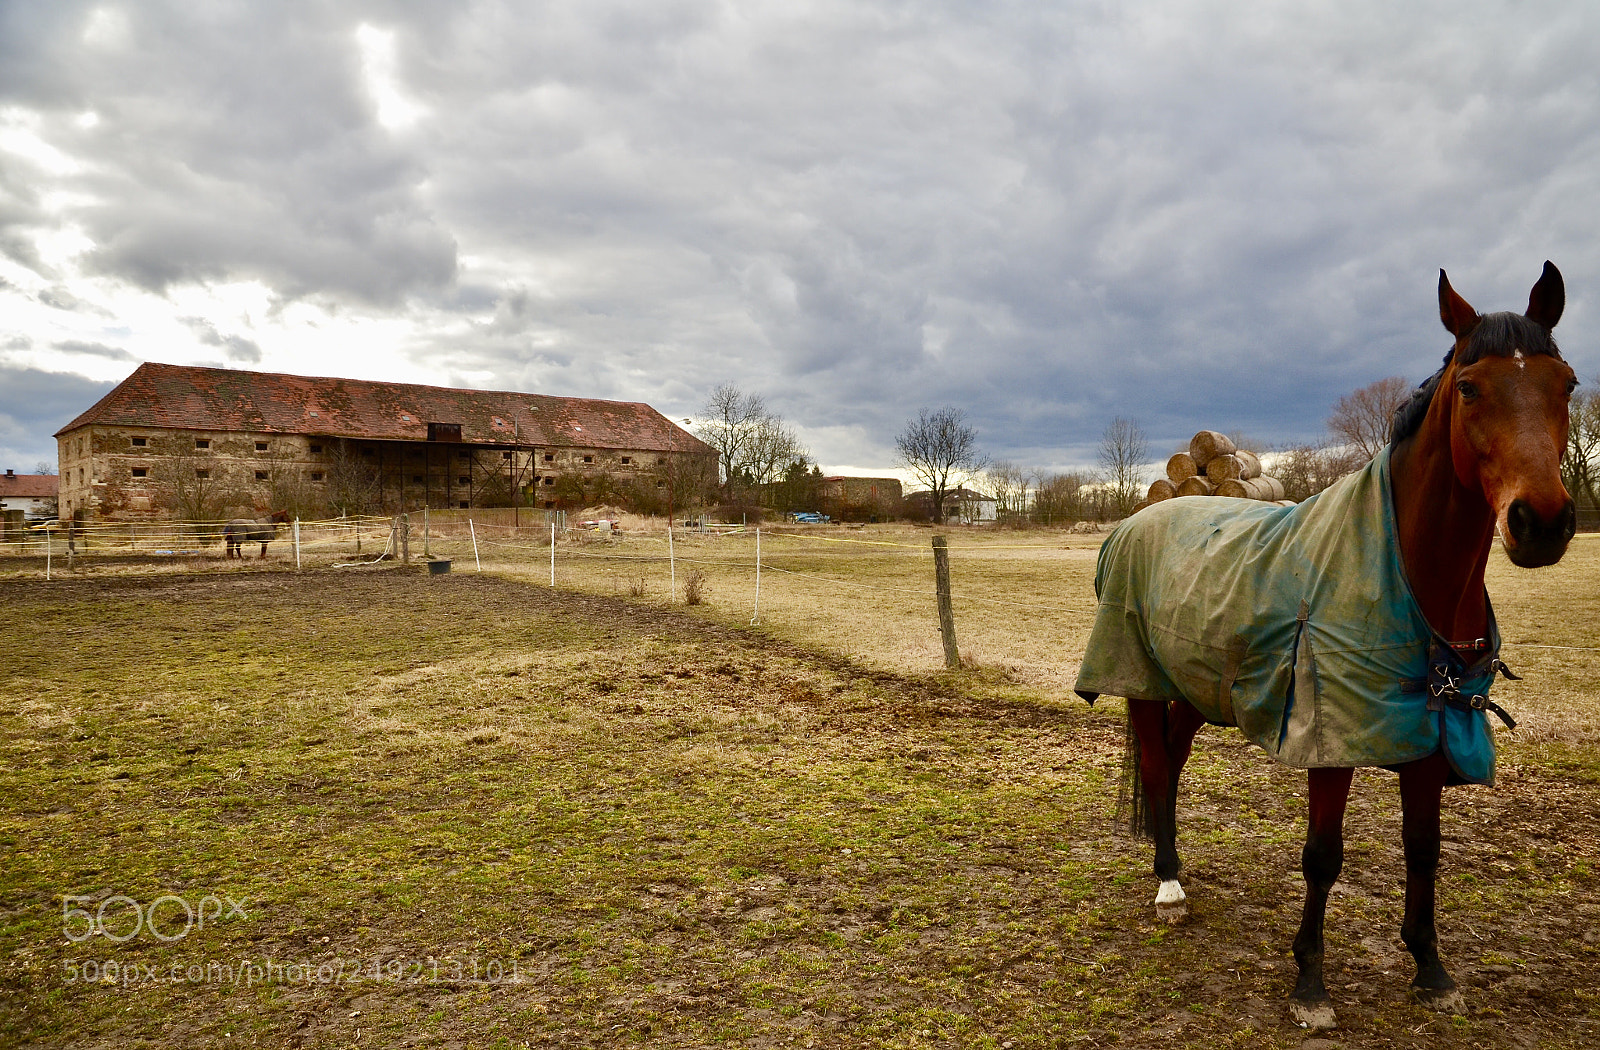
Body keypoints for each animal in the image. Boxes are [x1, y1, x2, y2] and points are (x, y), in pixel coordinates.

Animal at [1074, 262, 1576, 1029]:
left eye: (1568, 383)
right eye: (1469, 387)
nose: (1542, 522)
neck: (1400, 569)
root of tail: (1138, 519)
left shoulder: (1429, 737)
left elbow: (1423, 851)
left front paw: (1430, 967)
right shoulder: (1329, 742)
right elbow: (1323, 856)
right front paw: (1309, 983)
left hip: (1196, 687)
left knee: (1177, 763)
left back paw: (1176, 868)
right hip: (1142, 683)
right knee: (1158, 769)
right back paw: (1168, 888)